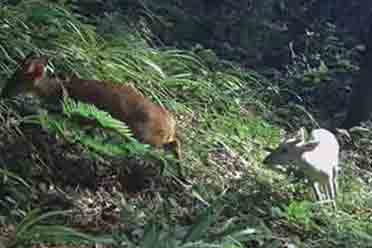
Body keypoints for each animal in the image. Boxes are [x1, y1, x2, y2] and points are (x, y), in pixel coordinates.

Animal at [1, 54, 182, 159]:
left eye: (16, 81)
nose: (3, 93)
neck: (57, 89)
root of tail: (171, 122)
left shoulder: (70, 113)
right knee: (175, 143)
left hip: (144, 135)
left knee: (168, 145)